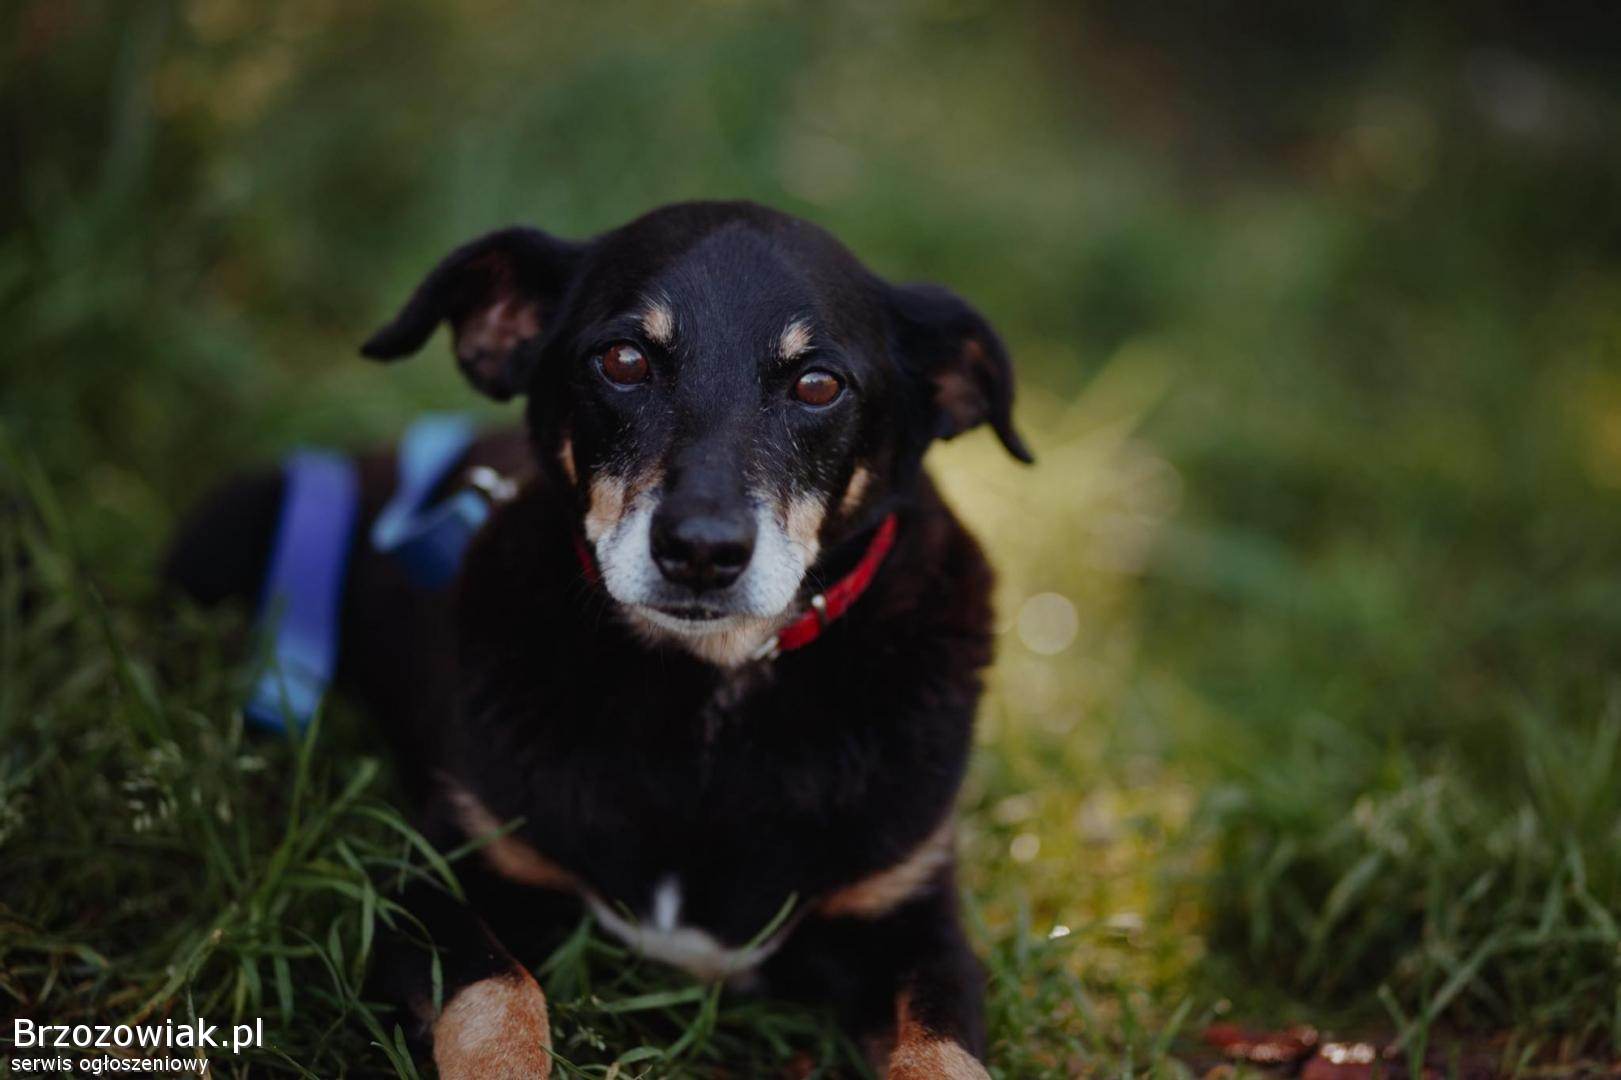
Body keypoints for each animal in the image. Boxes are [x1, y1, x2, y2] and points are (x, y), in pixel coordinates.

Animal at [166, 200, 1032, 1077]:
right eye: (622, 360)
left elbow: (943, 1058)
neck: (708, 704)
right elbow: (500, 999)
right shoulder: (429, 876)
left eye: (818, 384)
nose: (701, 551)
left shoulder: (912, 922)